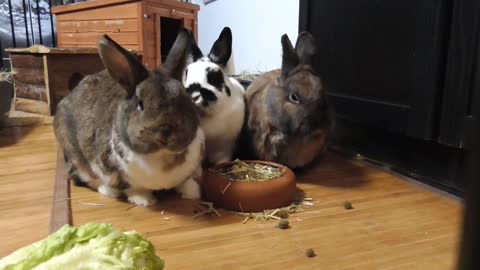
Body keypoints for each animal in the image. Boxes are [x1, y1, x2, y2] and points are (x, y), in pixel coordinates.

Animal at [54, 29, 204, 207]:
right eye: (140, 104)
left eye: (185, 100)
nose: (165, 131)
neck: (162, 156)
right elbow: (133, 188)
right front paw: (144, 201)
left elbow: (186, 181)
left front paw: (193, 193)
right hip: (74, 154)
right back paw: (109, 191)